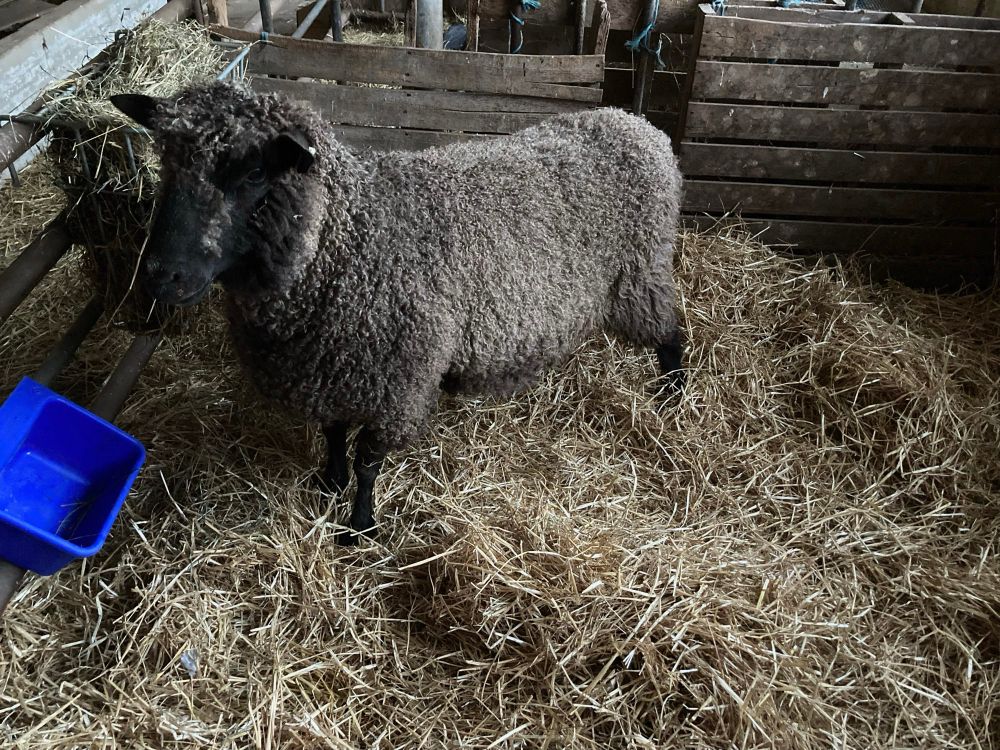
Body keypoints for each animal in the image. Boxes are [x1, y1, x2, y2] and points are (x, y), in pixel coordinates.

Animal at [110, 80, 684, 545]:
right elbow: (333, 435)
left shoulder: (397, 383)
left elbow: (369, 462)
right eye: (167, 162)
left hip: (639, 273)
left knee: (671, 332)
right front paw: (329, 482)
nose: (161, 275)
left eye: (253, 172)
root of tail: (636, 124)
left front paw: (358, 526)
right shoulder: (331, 368)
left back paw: (673, 395)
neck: (347, 241)